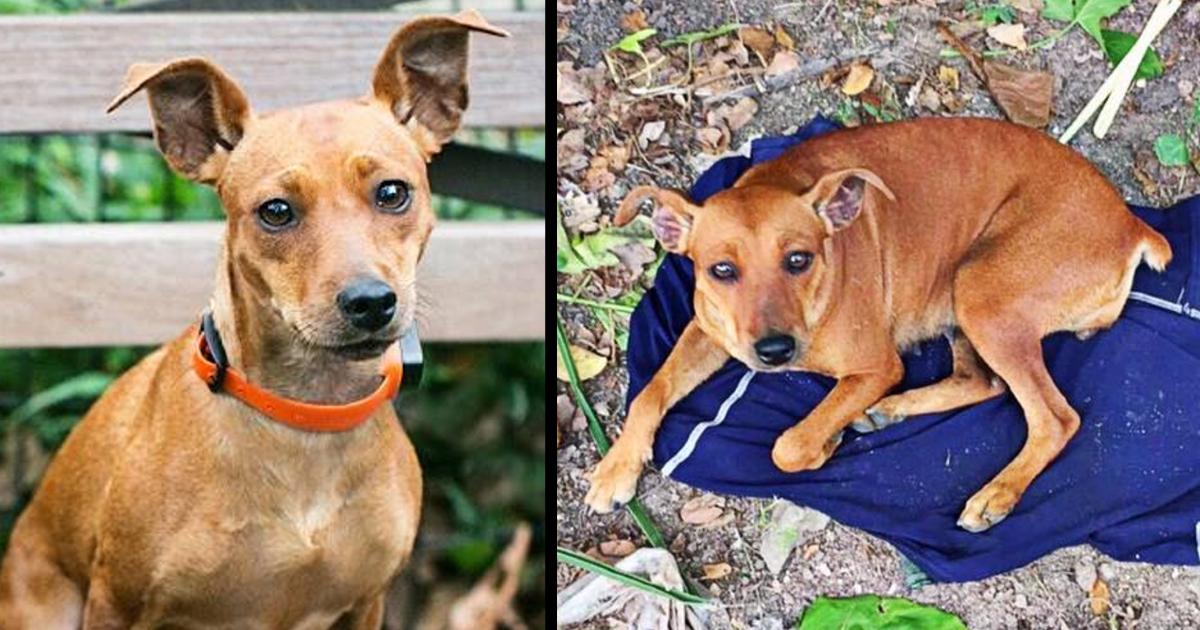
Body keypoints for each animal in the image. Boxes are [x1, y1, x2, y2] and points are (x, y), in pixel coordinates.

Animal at [0, 11, 508, 628]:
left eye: (393, 192)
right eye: (276, 211)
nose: (369, 301)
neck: (306, 418)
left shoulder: (367, 602)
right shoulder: (117, 602)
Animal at [590, 116, 1171, 530]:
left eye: (798, 259)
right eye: (722, 270)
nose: (775, 352)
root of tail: (1132, 224)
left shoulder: (876, 368)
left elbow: (788, 446)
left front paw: (822, 442)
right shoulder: (711, 331)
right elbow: (651, 391)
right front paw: (616, 467)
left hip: (981, 290)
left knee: (1054, 417)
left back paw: (995, 495)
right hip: (958, 298)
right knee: (983, 382)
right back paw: (890, 412)